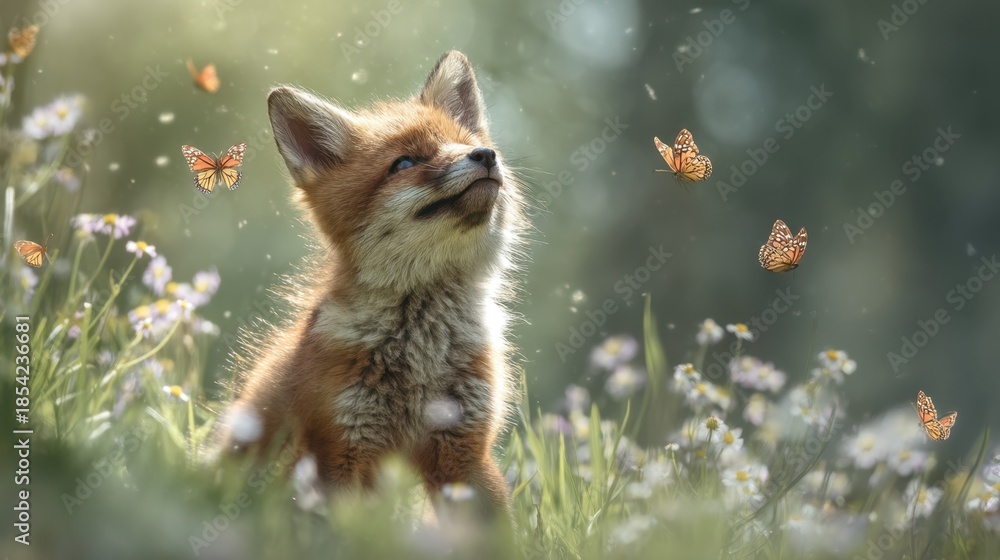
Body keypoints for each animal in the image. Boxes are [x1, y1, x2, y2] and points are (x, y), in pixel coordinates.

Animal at [214, 51, 526, 517]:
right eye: (405, 163)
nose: (485, 154)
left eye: (464, 140)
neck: (421, 354)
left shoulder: (464, 448)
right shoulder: (337, 447)